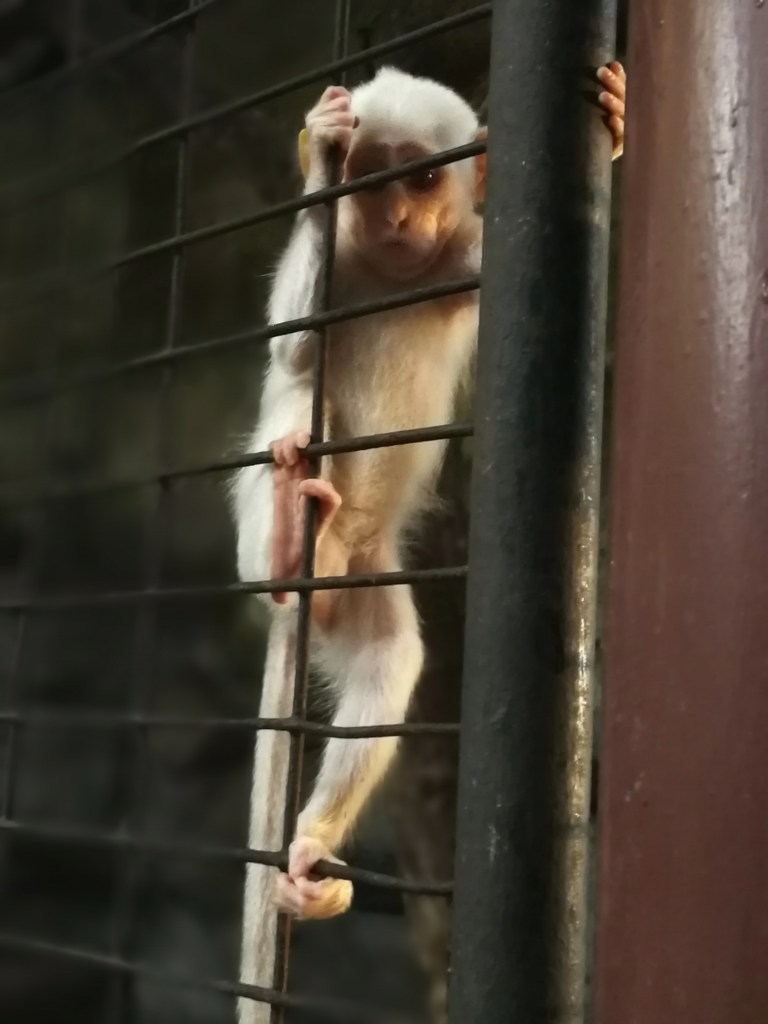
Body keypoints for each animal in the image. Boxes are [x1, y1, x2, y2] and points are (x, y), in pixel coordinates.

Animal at [231, 62, 626, 1014]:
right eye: (373, 178)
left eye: (418, 181)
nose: (394, 220)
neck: (388, 268)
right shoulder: (337, 269)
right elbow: (294, 354)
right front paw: (319, 154)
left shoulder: (469, 259)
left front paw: (615, 122)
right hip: (277, 533)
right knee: (292, 427)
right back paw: (288, 536)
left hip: (361, 588)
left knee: (389, 664)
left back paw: (309, 850)